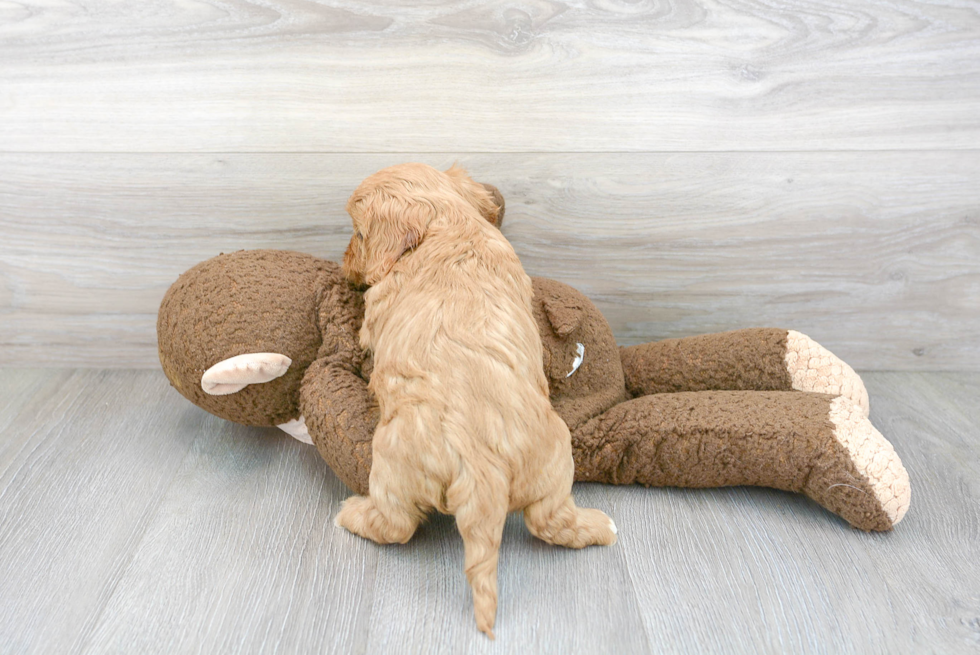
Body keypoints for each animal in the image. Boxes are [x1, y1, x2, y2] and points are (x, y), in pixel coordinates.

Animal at [336, 161, 612, 640]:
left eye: (359, 234)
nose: (343, 264)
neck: (448, 225)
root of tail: (480, 463)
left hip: (389, 464)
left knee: (396, 525)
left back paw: (351, 514)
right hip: (556, 455)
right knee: (551, 521)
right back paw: (601, 526)